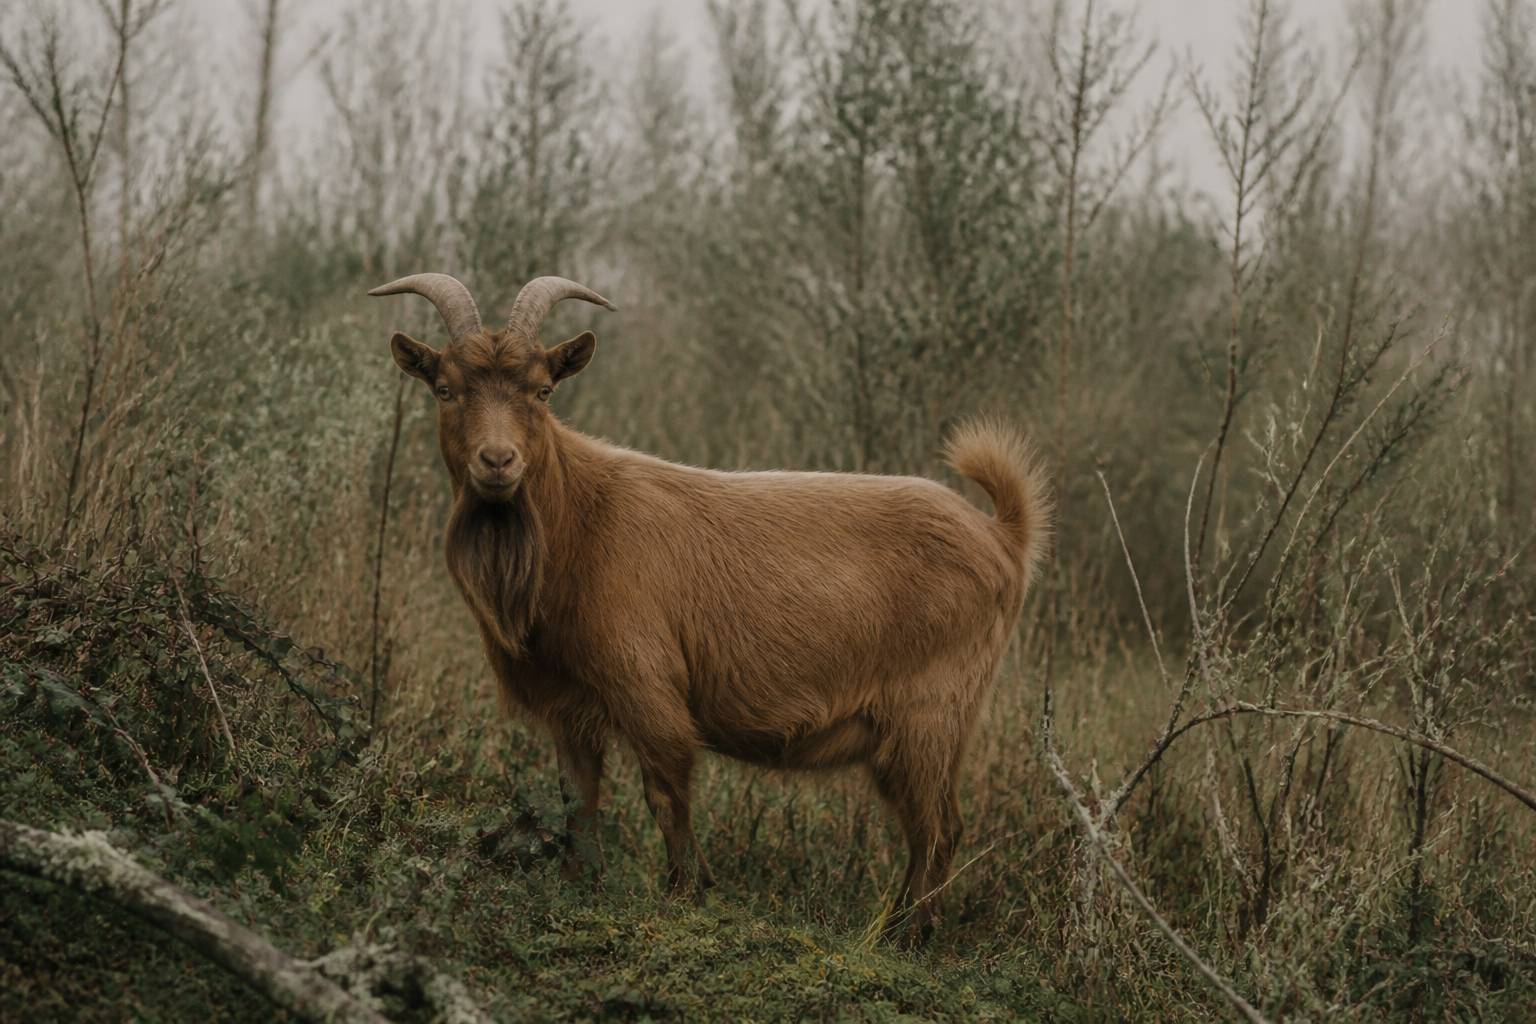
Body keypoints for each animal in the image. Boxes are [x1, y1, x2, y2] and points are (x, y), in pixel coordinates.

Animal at [369, 273, 1050, 942]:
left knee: (937, 828)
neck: (579, 523)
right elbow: (579, 801)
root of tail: (1002, 536)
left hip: (928, 714)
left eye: (542, 391)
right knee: (932, 825)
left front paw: (685, 896)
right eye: (445, 390)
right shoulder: (570, 706)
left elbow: (666, 795)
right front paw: (580, 887)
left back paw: (908, 939)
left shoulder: (649, 689)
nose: (498, 461)